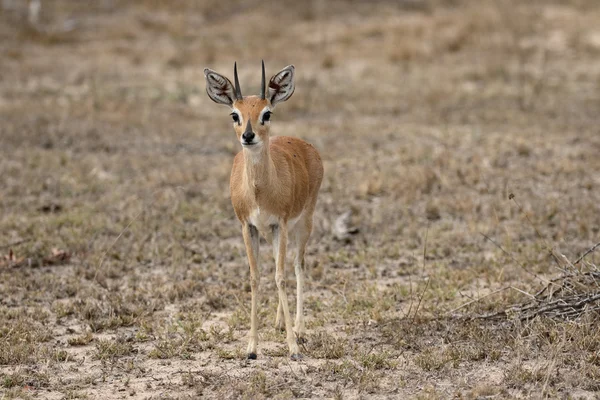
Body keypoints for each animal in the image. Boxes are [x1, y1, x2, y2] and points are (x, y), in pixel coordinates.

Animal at [203, 61, 324, 360]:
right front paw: (251, 348)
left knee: (297, 265)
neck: (259, 191)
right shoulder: (249, 227)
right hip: (271, 233)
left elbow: (281, 277)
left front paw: (293, 348)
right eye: (235, 114)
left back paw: (299, 329)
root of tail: (305, 145)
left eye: (266, 113)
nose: (248, 136)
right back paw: (280, 322)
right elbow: (255, 278)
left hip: (303, 223)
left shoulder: (281, 223)